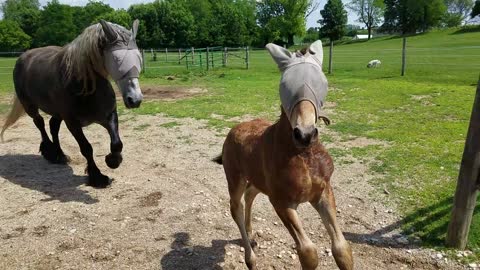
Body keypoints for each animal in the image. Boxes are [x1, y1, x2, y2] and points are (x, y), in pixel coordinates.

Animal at [214, 41, 352, 268]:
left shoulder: (323, 192)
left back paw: (251, 235)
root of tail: (234, 129)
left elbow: (342, 249)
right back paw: (250, 257)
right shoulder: (281, 202)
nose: (305, 134)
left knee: (250, 194)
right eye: (284, 85)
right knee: (236, 207)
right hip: (234, 178)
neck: (303, 155)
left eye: (322, 82)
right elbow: (308, 252)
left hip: (258, 180)